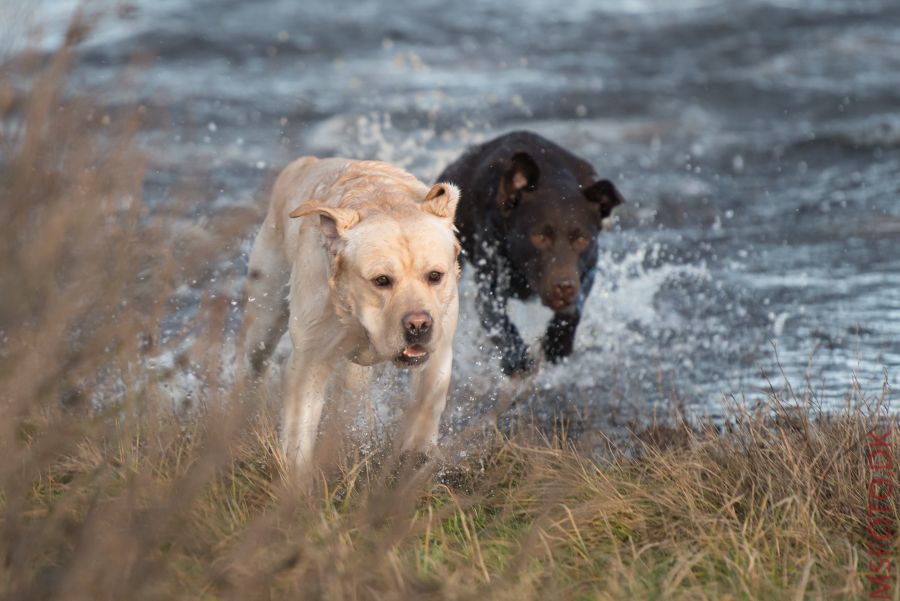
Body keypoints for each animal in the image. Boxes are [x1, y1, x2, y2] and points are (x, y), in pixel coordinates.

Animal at [438, 132, 624, 376]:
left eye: (581, 239)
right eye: (540, 236)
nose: (563, 286)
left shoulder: (588, 269)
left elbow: (572, 310)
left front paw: (558, 344)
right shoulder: (489, 289)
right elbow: (500, 322)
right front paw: (516, 358)